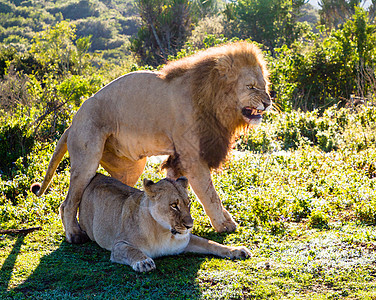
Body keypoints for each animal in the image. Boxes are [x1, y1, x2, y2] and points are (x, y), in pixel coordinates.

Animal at [32, 41, 272, 244]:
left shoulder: (179, 159)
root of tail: (72, 122)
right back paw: (74, 235)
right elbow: (210, 194)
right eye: (251, 87)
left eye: (265, 85)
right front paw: (224, 225)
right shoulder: (192, 157)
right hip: (86, 159)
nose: (268, 102)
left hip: (130, 168)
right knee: (67, 202)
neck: (216, 102)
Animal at [78, 172, 251, 274]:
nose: (190, 226)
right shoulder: (119, 245)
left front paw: (237, 250)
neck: (164, 232)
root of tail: (97, 175)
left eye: (188, 203)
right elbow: (131, 251)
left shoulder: (185, 241)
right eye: (174, 205)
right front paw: (144, 262)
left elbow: (211, 244)